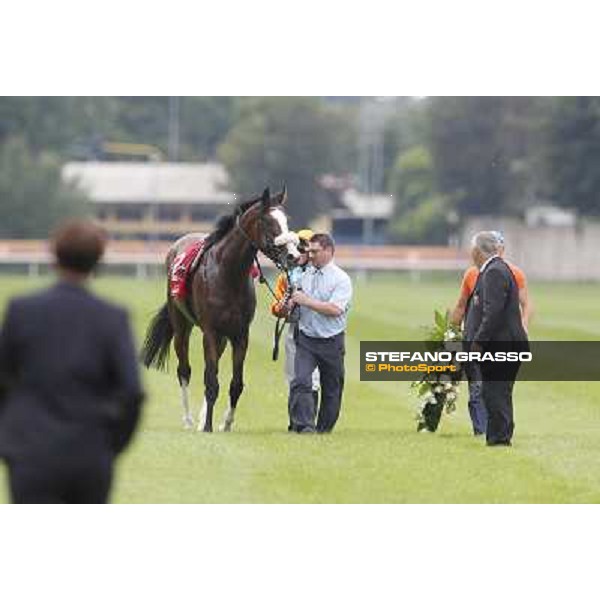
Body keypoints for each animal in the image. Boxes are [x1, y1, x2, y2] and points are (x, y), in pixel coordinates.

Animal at [141, 186, 300, 432]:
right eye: (268, 222)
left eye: (286, 221)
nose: (293, 256)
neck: (228, 273)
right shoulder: (210, 331)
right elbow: (210, 380)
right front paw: (207, 426)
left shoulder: (240, 334)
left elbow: (236, 384)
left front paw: (225, 423)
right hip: (182, 326)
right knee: (184, 370)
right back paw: (188, 420)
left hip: (223, 338)